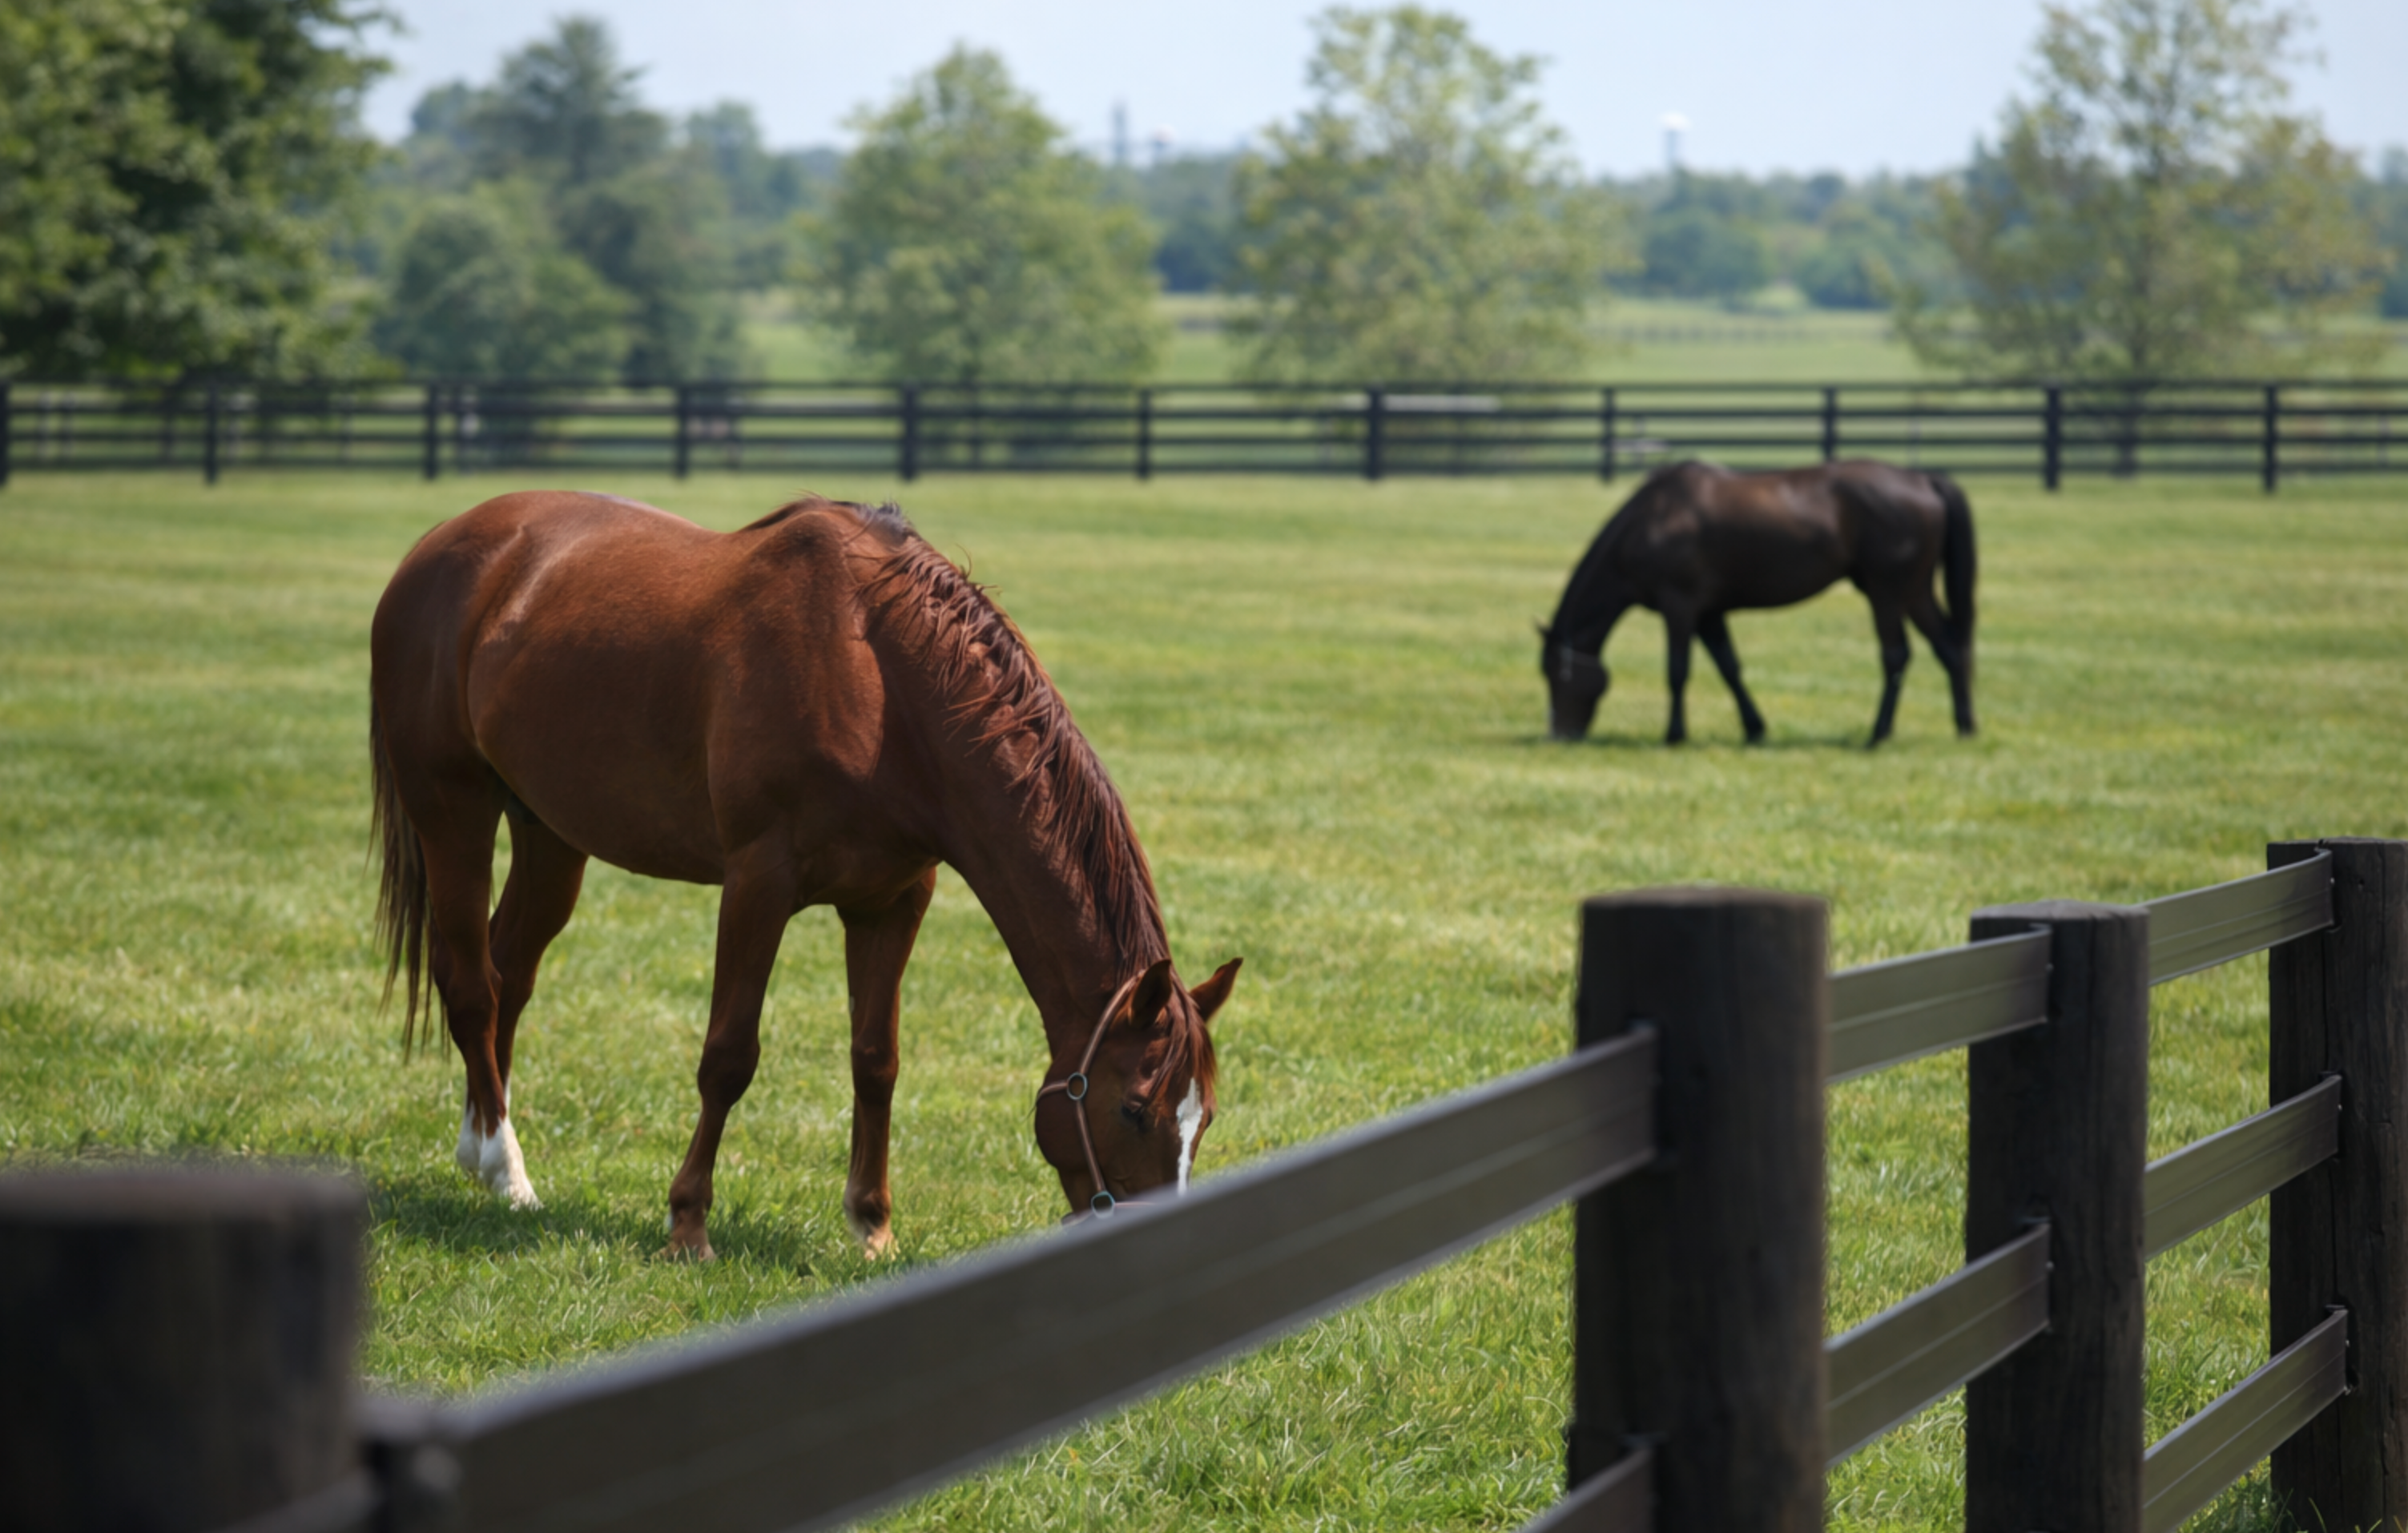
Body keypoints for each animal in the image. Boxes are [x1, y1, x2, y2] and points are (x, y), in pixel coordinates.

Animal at [369, 492, 1240, 1260]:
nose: (1169, 1242)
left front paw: (872, 1226)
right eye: (1134, 1109)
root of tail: (436, 550)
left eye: (1203, 1119)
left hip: (551, 834)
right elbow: (728, 1057)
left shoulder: (894, 901)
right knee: (471, 984)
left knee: (508, 973)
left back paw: (486, 1150)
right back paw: (503, 1166)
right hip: (452, 809)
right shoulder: (759, 882)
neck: (879, 681)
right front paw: (688, 1226)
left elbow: (876, 1061)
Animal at [1538, 460, 1977, 748]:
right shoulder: (1709, 614)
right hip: (1915, 592)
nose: (1560, 735)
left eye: (1553, 674)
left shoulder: (1680, 608)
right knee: (1949, 648)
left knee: (1896, 655)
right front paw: (1754, 729)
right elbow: (1729, 667)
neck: (1652, 520)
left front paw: (1675, 735)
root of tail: (1923, 479)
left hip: (1886, 592)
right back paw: (1964, 727)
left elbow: (1678, 671)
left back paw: (1878, 733)